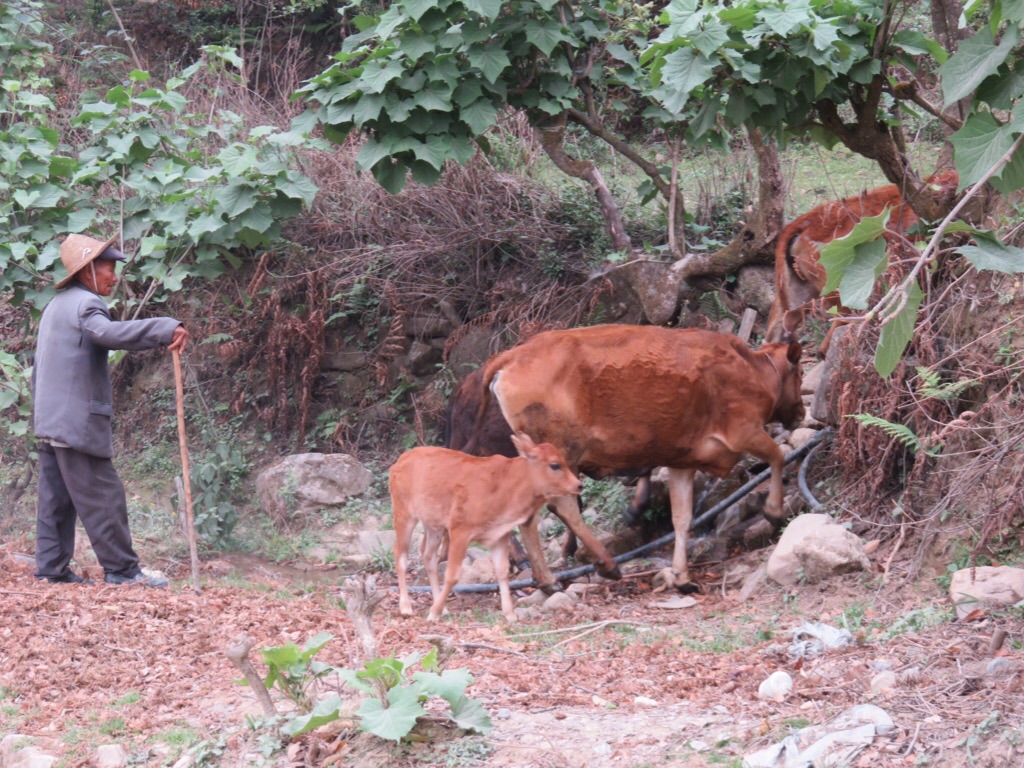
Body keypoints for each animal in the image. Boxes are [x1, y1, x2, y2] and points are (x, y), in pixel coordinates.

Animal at [389, 434, 581, 626]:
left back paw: (441, 607)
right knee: (401, 555)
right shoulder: (460, 530)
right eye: (555, 464)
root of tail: (400, 461)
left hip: (433, 523)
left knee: (428, 555)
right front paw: (433, 613)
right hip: (403, 513)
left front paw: (510, 614)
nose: (578, 485)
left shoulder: (500, 535)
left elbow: (502, 572)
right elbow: (452, 575)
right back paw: (406, 607)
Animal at [468, 327, 802, 593]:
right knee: (562, 507)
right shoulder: (744, 431)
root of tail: (512, 355)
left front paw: (682, 577)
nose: (799, 411)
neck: (751, 368)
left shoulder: (683, 462)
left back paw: (548, 580)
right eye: (798, 371)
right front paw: (774, 511)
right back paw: (605, 564)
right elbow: (778, 456)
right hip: (562, 453)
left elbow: (682, 518)